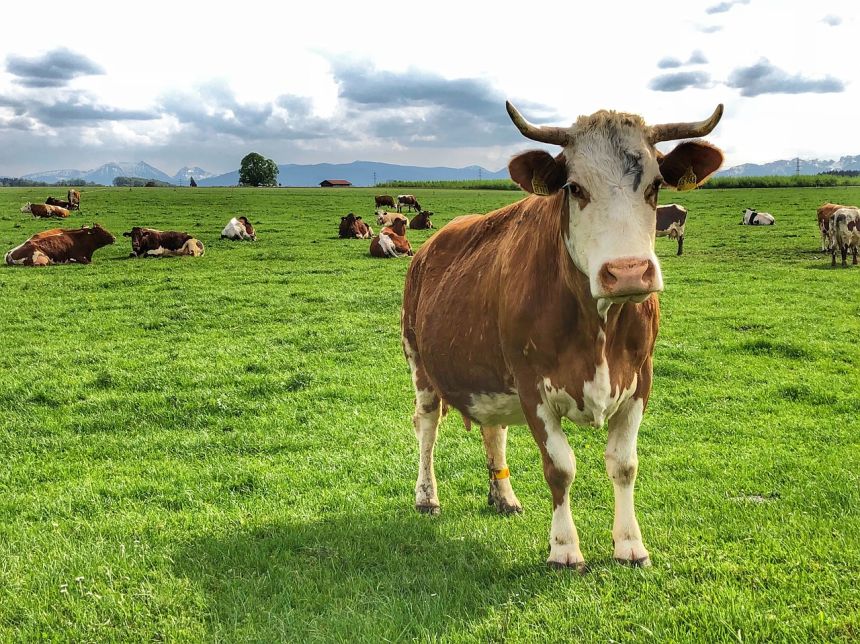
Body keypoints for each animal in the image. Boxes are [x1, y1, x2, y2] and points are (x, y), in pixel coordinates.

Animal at [400, 99, 724, 568]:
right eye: (574, 187)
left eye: (655, 185)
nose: (628, 272)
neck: (599, 325)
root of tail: (430, 244)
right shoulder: (532, 385)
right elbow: (560, 467)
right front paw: (565, 549)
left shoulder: (641, 379)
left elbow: (624, 464)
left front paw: (630, 545)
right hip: (420, 362)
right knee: (426, 425)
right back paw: (427, 497)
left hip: (488, 372)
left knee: (493, 430)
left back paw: (504, 495)